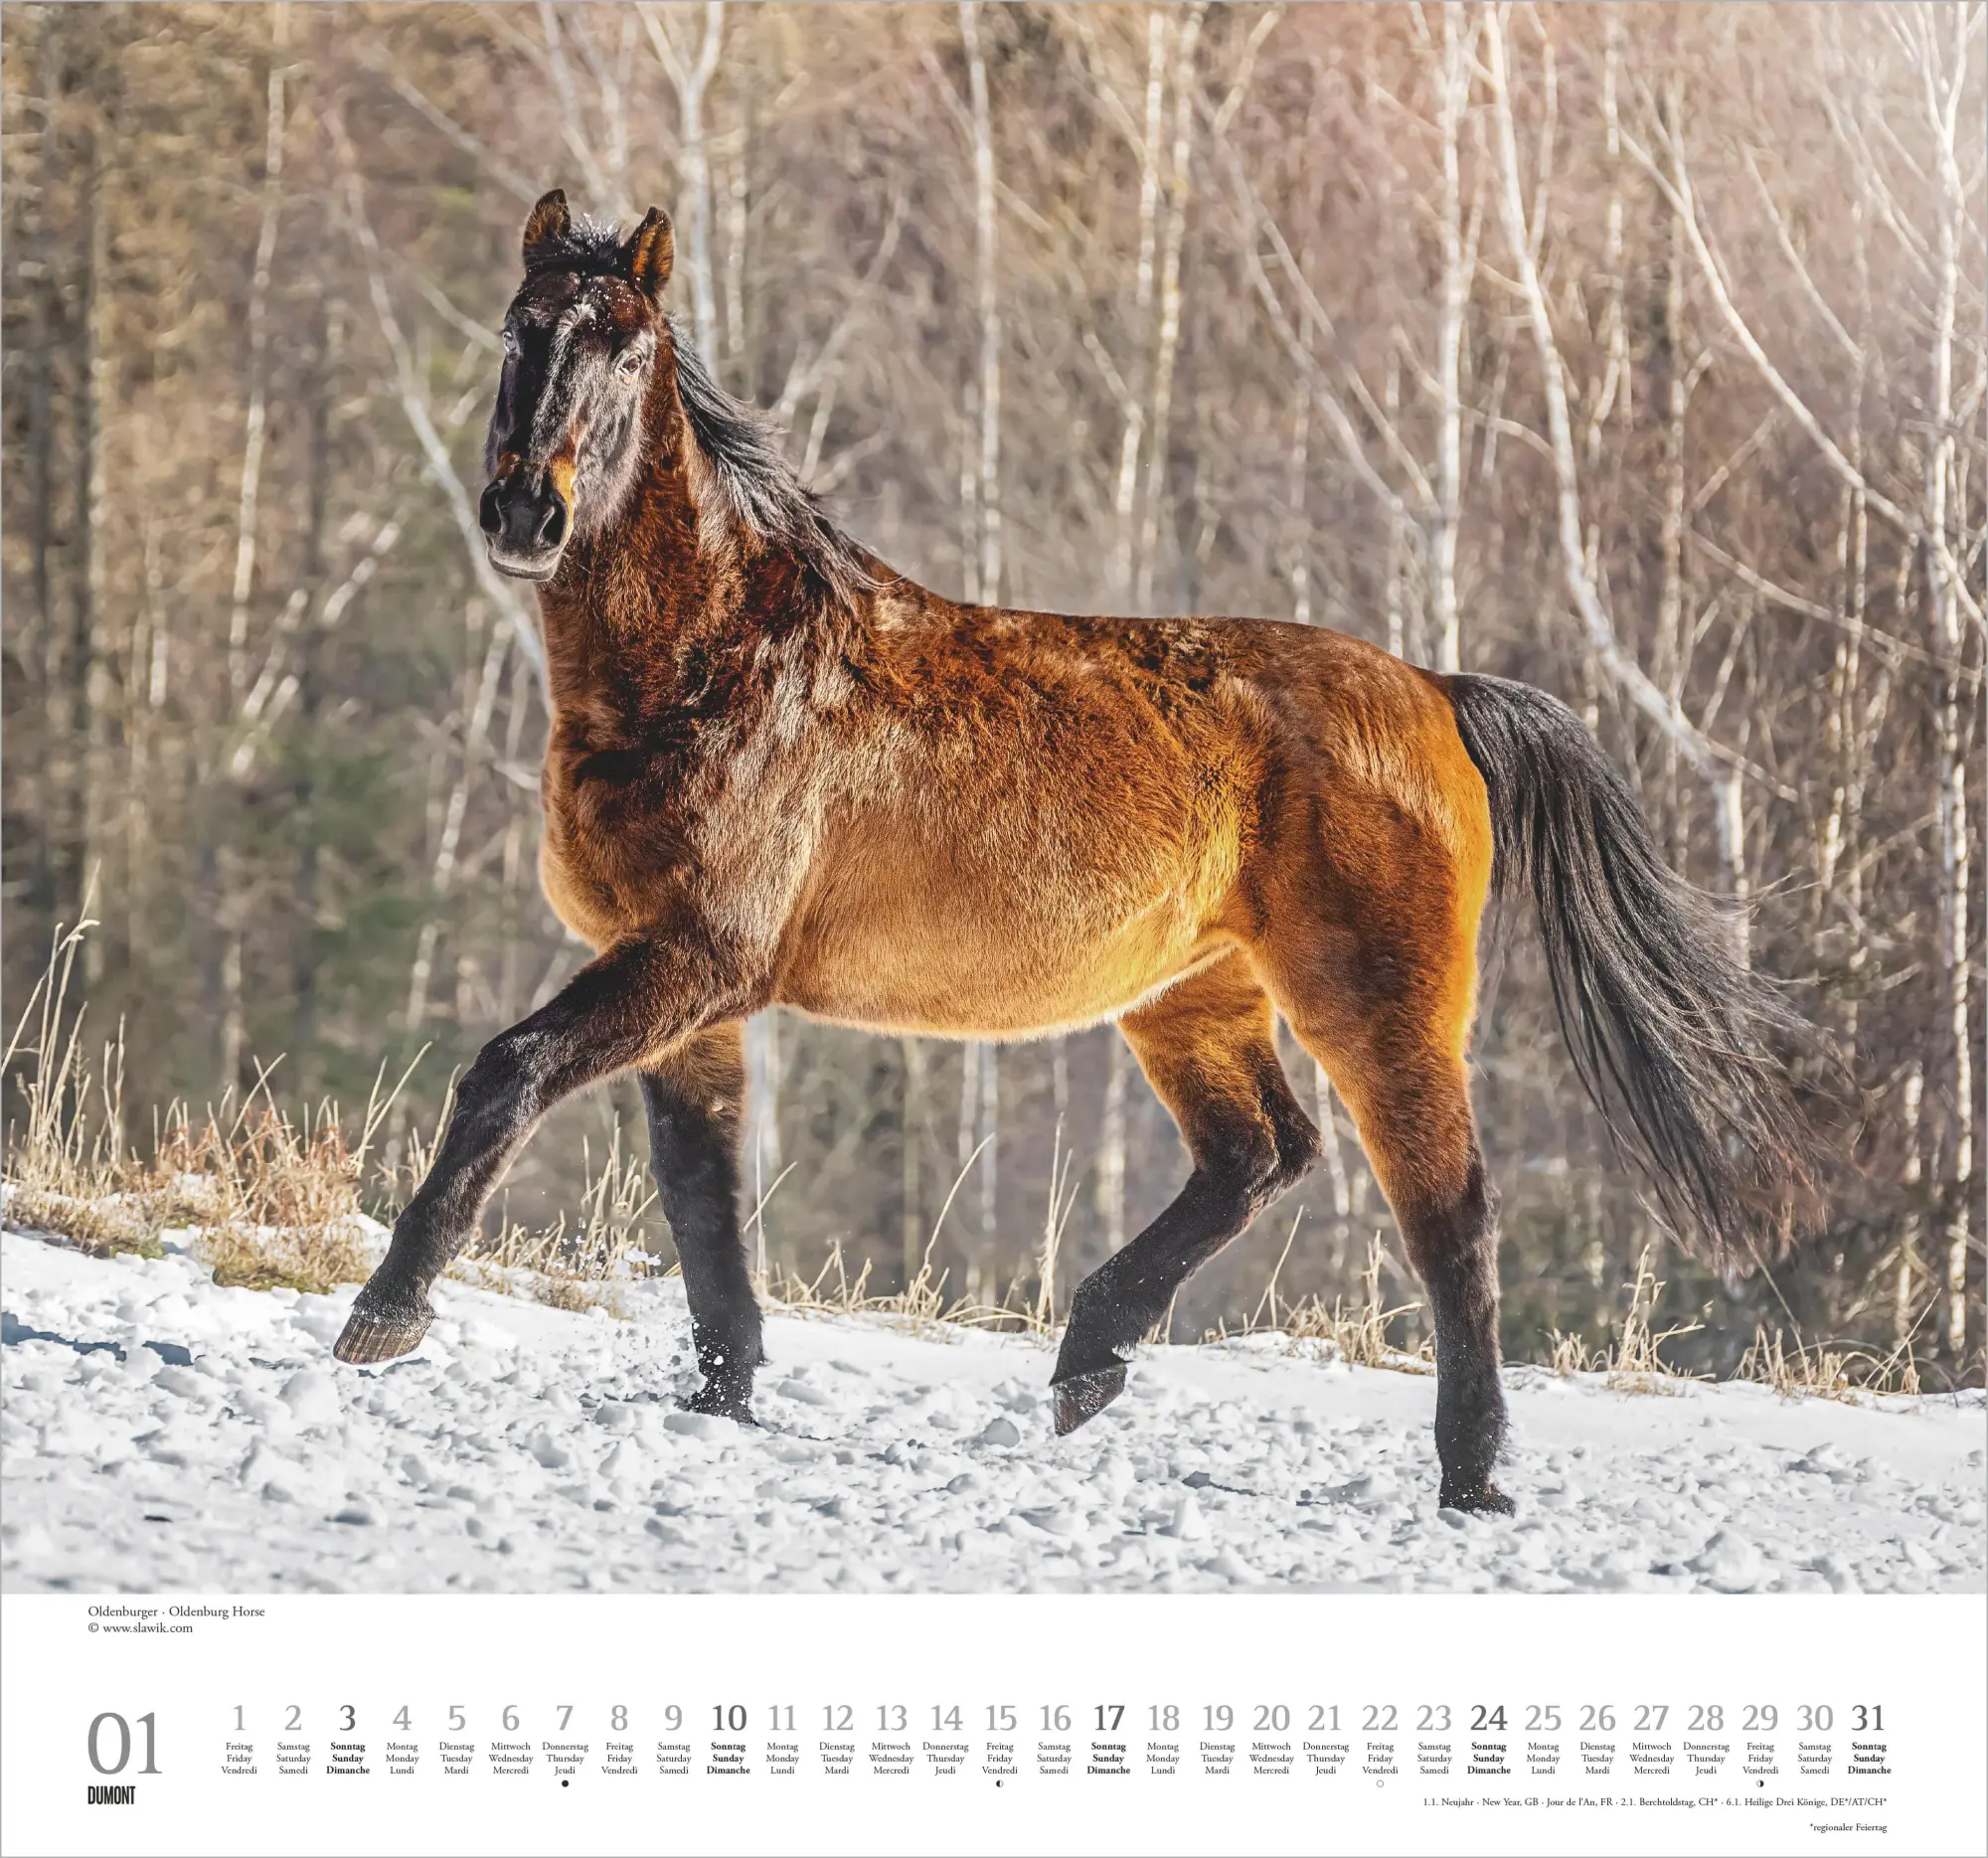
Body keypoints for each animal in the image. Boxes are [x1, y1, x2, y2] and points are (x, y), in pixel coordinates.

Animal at [334, 192, 1825, 1515]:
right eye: (521, 327)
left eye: (627, 345)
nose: (523, 512)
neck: (718, 663)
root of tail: (1433, 690)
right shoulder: (683, 987)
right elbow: (704, 1200)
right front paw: (722, 1398)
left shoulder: (692, 957)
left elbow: (508, 1073)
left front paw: (384, 1317)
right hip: (1191, 998)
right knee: (1261, 1155)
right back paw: (1088, 1364)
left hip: (1378, 1008)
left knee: (1446, 1214)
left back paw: (1468, 1481)